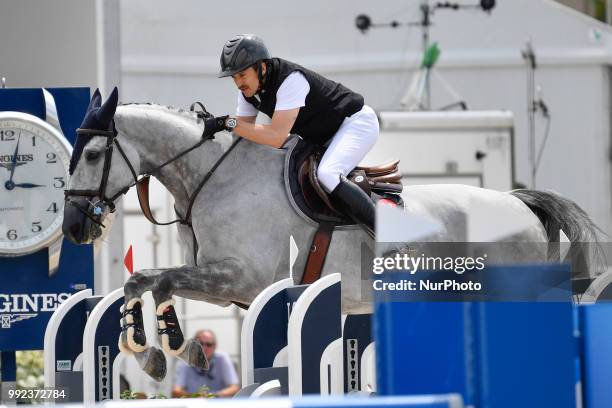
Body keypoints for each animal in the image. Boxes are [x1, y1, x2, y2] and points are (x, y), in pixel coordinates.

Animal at [63, 87, 604, 382]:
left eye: (92, 155)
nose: (73, 227)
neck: (211, 177)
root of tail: (519, 202)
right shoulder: (220, 282)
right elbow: (149, 281)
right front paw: (165, 350)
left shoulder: (241, 277)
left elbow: (158, 278)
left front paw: (163, 349)